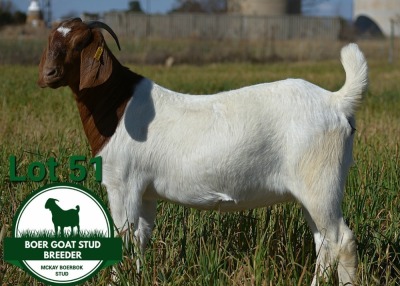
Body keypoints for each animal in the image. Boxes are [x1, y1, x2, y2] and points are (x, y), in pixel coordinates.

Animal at [39, 18, 368, 286]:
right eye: (51, 39)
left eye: (79, 43)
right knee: (325, 243)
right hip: (311, 190)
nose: (48, 74)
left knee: (342, 241)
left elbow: (123, 239)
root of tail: (336, 101)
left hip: (320, 182)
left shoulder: (122, 183)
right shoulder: (144, 192)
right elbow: (140, 239)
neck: (118, 108)